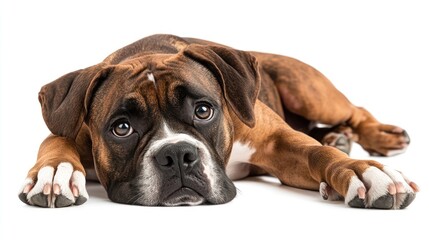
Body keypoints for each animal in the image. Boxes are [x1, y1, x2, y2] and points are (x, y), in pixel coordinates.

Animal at [19, 33, 418, 208]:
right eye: (122, 128)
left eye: (203, 110)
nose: (176, 155)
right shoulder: (71, 126)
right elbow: (55, 139)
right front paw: (55, 173)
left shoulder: (279, 144)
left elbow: (316, 153)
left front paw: (362, 171)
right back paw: (339, 137)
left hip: (309, 91)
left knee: (354, 111)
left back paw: (376, 138)